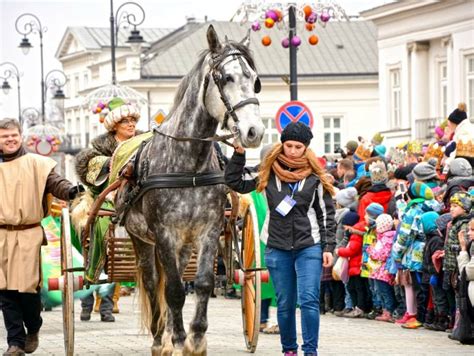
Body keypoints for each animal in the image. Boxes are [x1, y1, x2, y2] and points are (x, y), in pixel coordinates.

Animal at [118, 26, 264, 354]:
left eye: (254, 79)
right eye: (226, 77)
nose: (254, 132)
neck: (190, 167)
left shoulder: (208, 230)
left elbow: (203, 283)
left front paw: (195, 339)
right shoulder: (164, 234)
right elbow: (172, 289)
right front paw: (178, 339)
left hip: (183, 245)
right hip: (141, 239)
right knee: (153, 282)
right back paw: (160, 338)